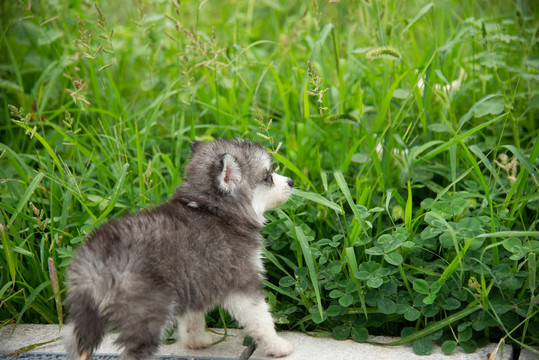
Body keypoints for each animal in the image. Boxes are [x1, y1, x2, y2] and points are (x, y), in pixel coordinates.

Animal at [65, 137, 298, 358]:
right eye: (267, 177)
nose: (291, 181)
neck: (214, 210)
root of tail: (97, 259)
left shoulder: (194, 280)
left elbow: (192, 319)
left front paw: (196, 341)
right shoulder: (241, 281)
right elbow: (262, 319)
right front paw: (278, 346)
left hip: (85, 318)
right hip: (147, 314)